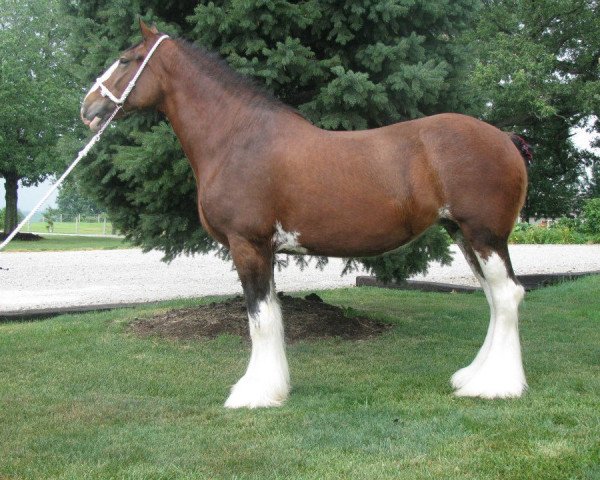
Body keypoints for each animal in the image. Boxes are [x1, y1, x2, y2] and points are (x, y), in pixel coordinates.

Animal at [81, 20, 528, 406]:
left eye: (126, 59)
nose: (88, 107)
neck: (237, 139)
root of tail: (505, 138)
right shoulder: (265, 249)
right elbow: (273, 316)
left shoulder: (248, 244)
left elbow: (260, 319)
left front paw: (254, 394)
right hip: (463, 234)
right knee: (495, 297)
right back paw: (472, 376)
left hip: (484, 236)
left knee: (507, 295)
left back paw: (494, 386)